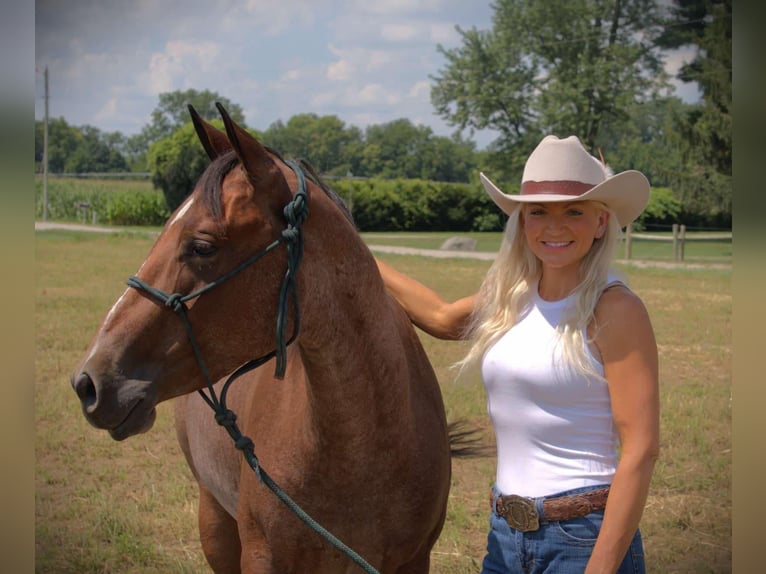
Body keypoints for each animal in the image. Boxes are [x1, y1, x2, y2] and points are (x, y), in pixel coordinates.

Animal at [71, 103, 466, 573]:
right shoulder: (262, 556)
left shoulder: (412, 560)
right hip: (214, 521)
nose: (89, 381)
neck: (366, 449)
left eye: (202, 246)